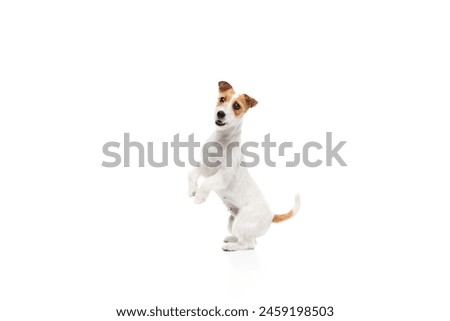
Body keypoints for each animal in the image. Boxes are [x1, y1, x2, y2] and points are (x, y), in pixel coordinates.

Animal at [186, 80, 298, 250]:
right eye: (222, 99)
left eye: (237, 106)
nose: (220, 113)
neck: (222, 139)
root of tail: (271, 215)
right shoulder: (206, 166)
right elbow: (191, 173)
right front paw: (192, 190)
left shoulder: (223, 176)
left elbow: (207, 183)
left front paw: (199, 197)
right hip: (232, 221)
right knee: (250, 240)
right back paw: (231, 239)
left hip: (242, 222)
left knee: (248, 244)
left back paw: (231, 247)